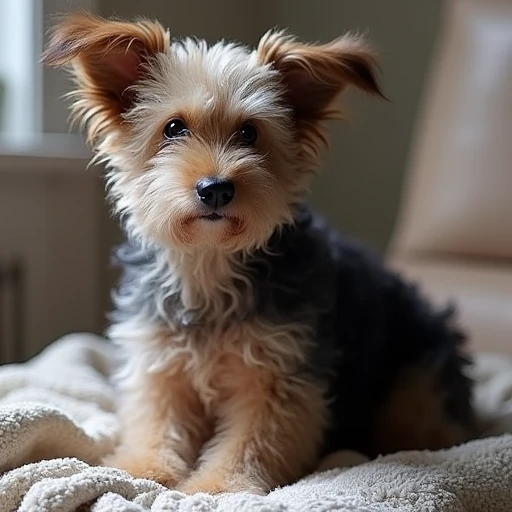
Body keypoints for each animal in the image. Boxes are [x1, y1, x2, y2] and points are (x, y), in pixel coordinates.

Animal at [41, 14, 476, 494]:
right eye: (173, 129)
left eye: (249, 132)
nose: (215, 188)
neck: (209, 261)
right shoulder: (160, 368)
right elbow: (157, 427)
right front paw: (143, 471)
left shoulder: (279, 379)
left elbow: (251, 443)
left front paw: (215, 488)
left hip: (415, 388)